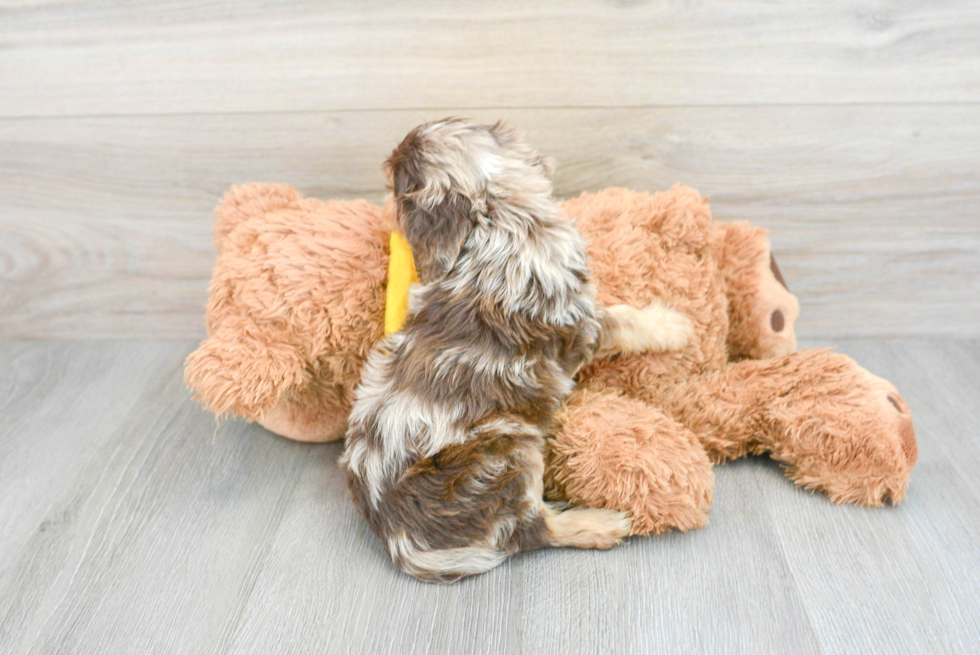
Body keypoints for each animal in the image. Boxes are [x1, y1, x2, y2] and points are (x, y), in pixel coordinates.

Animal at [340, 119, 692, 584]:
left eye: (394, 189)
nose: (381, 211)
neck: (497, 218)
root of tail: (402, 541)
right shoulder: (580, 321)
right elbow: (625, 320)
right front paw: (673, 324)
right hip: (509, 453)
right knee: (529, 530)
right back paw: (597, 524)